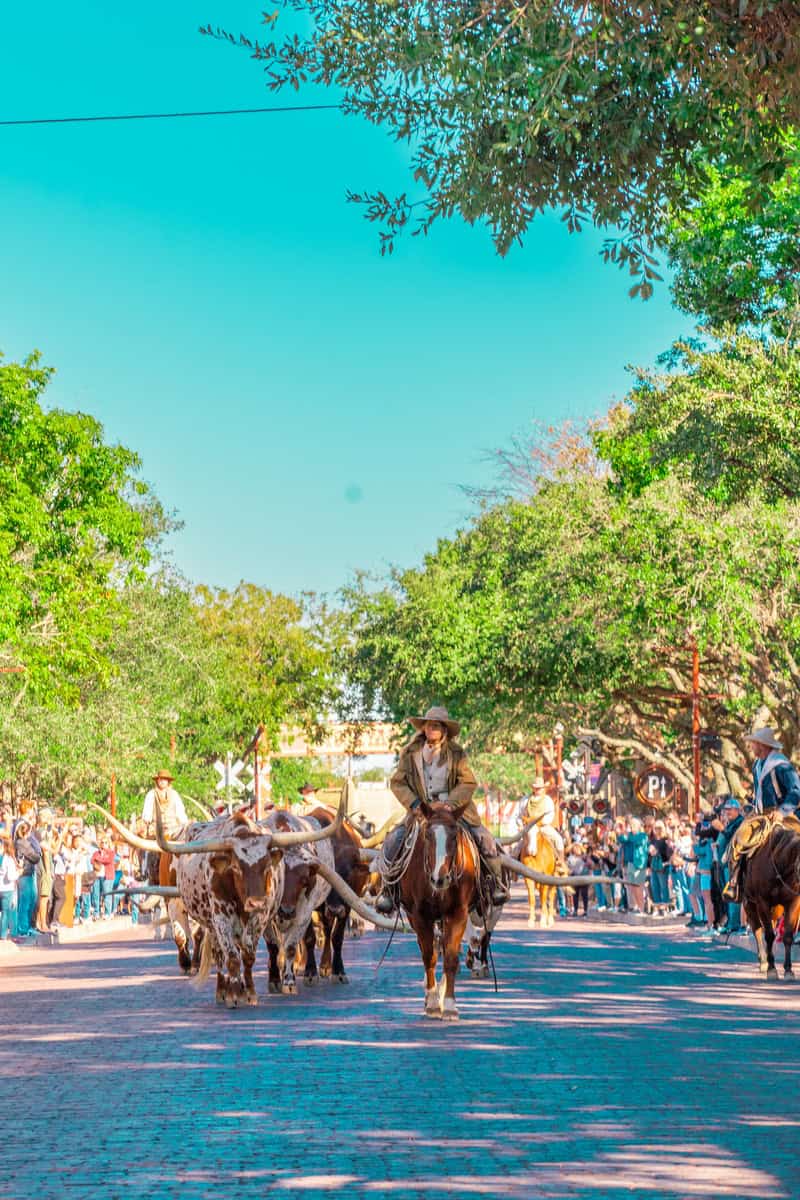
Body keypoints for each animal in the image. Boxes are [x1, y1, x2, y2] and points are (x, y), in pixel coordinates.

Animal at [738, 830, 800, 979]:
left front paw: (788, 970)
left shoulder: (793, 902)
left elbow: (787, 935)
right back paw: (764, 961)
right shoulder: (763, 902)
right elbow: (769, 935)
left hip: (775, 909)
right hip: (750, 904)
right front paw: (772, 969)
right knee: (757, 929)